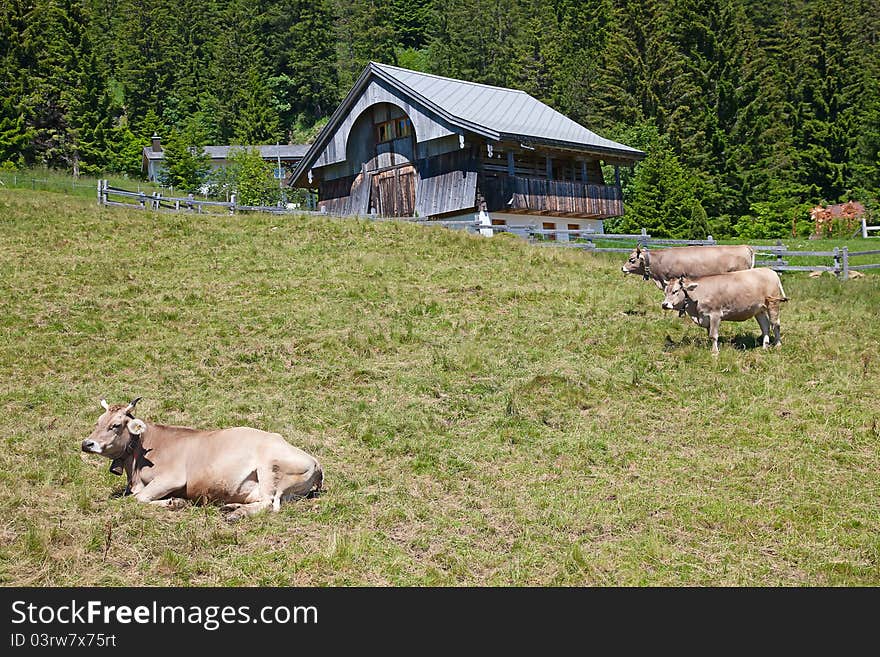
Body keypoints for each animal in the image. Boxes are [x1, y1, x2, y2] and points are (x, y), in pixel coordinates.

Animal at [81, 398, 324, 520]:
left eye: (115, 425)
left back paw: (237, 514)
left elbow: (138, 499)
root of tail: (315, 461)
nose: (86, 444)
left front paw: (174, 502)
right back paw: (231, 507)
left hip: (269, 467)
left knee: (269, 503)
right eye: (98, 422)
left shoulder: (172, 478)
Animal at [660, 266, 792, 354]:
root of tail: (770, 271)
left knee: (775, 324)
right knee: (765, 326)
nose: (664, 304)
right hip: (759, 309)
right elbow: (709, 334)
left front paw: (715, 352)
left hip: (773, 304)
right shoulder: (705, 317)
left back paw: (778, 345)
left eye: (675, 291)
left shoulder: (715, 314)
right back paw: (765, 346)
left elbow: (713, 335)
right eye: (665, 291)